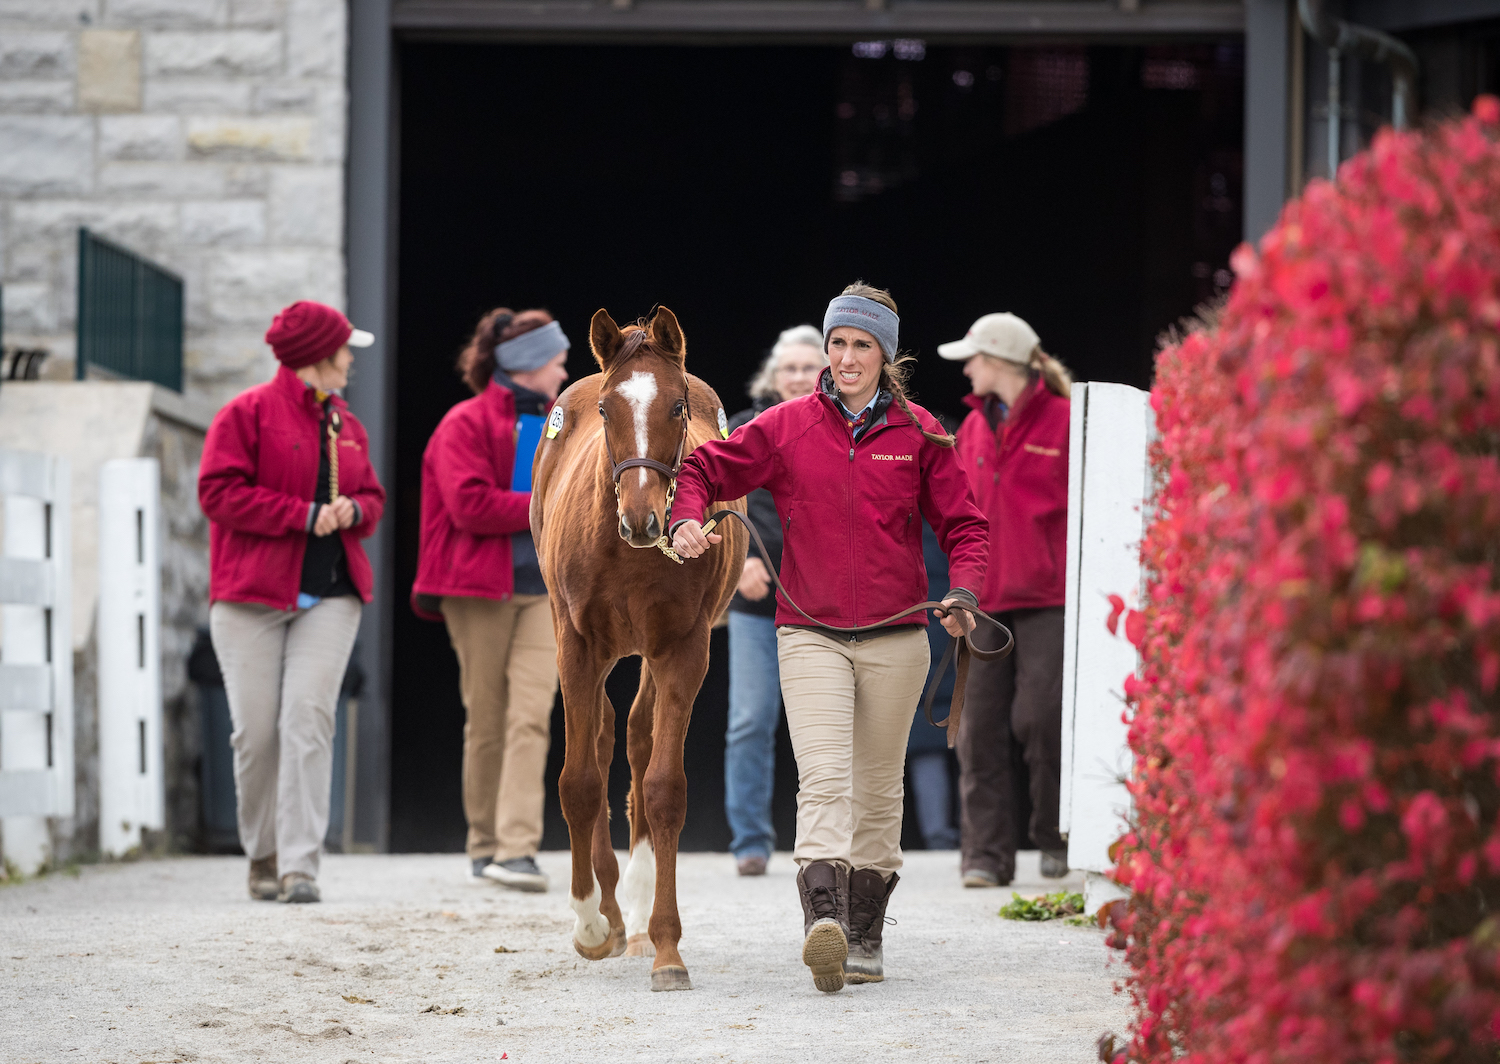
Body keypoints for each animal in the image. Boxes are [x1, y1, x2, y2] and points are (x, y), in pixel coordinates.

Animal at [534, 304, 750, 990]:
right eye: (607, 410)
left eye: (677, 407)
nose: (642, 518)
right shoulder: (575, 645)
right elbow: (578, 781)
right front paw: (589, 925)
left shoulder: (683, 650)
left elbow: (662, 787)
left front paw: (666, 947)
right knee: (603, 741)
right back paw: (607, 909)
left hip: (651, 654)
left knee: (633, 737)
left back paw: (629, 904)